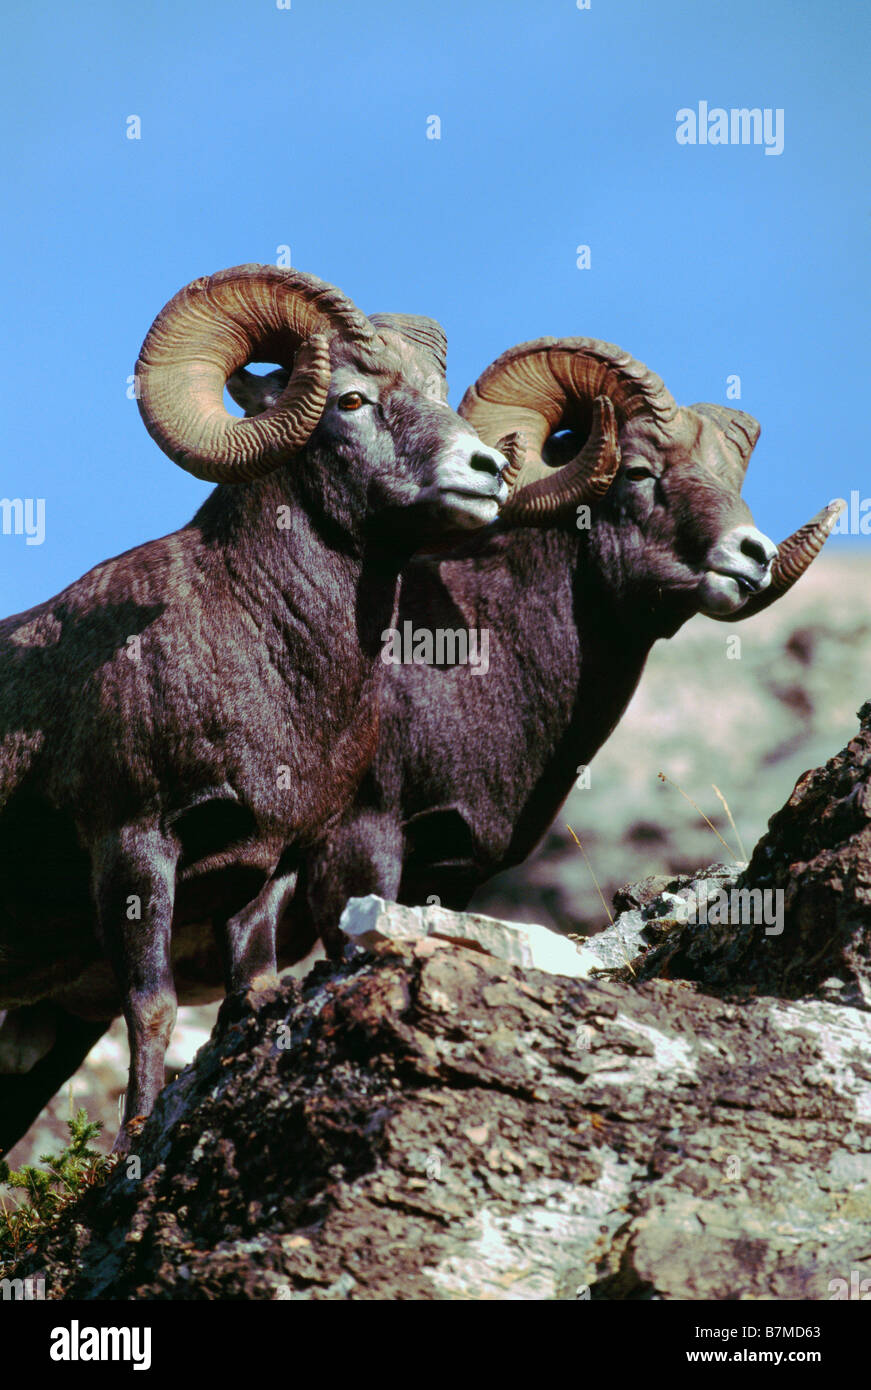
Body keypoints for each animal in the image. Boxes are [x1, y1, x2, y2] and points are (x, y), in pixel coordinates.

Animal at [0, 263, 535, 1155]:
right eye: (350, 399)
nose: (485, 468)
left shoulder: (263, 868)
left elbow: (244, 996)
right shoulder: (134, 845)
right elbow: (150, 1006)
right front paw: (134, 1141)